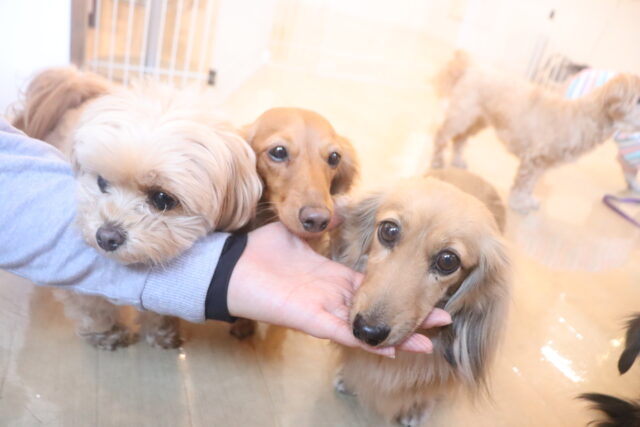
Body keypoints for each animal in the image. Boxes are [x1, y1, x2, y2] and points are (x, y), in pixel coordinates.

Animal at [13, 67, 262, 349]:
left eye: (163, 199)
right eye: (101, 182)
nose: (106, 237)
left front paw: (163, 332)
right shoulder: (79, 282)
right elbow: (91, 305)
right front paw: (107, 333)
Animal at [430, 51, 640, 213]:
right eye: (638, 100)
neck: (579, 117)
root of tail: (472, 66)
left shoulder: (541, 166)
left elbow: (530, 185)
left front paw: (528, 200)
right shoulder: (533, 161)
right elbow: (522, 185)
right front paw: (519, 204)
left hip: (478, 121)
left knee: (460, 139)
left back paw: (457, 160)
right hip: (461, 116)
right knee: (441, 136)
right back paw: (437, 162)